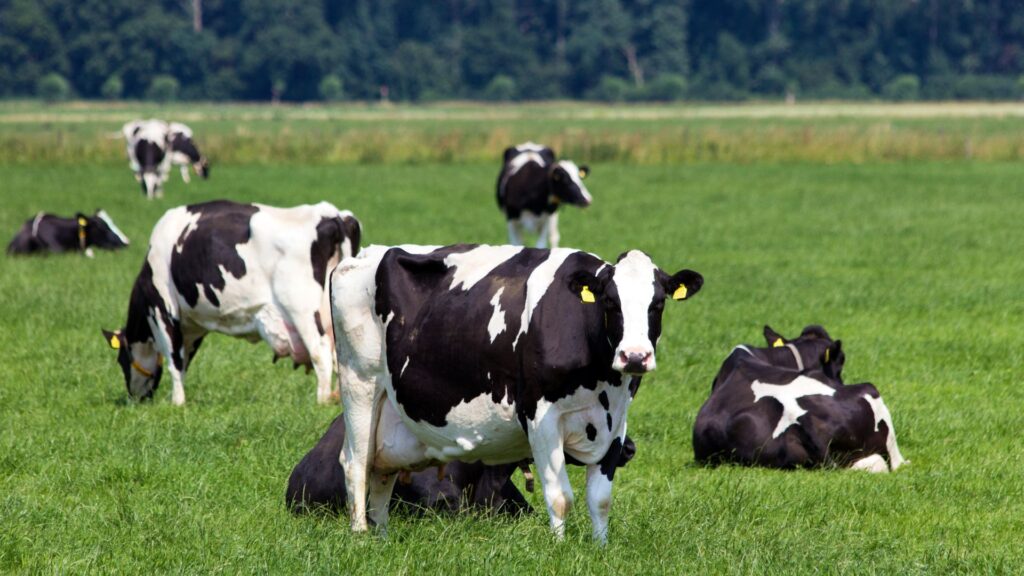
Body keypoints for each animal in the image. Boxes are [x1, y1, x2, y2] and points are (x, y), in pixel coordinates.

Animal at [101, 199, 361, 405]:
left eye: (121, 359)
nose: (135, 398)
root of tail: (332, 214)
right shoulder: (192, 326)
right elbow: (184, 361)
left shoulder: (163, 309)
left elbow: (175, 359)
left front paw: (177, 402)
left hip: (301, 309)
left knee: (321, 353)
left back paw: (322, 400)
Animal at [330, 244, 703, 543]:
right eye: (611, 302)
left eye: (658, 304)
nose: (635, 356)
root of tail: (361, 256)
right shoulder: (540, 416)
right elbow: (560, 496)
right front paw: (559, 548)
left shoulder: (617, 420)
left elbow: (600, 499)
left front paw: (600, 548)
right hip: (359, 383)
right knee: (356, 462)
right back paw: (361, 536)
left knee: (381, 471)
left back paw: (381, 536)